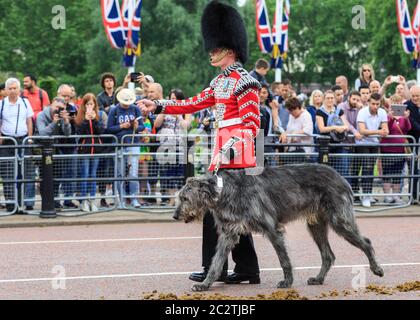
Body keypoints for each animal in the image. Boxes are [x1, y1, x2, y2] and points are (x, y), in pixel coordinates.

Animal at [173, 164, 384, 292]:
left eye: (185, 198)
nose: (175, 216)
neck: (224, 190)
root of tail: (341, 177)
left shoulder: (272, 229)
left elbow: (284, 260)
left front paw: (287, 282)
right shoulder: (228, 233)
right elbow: (216, 262)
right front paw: (205, 284)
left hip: (340, 221)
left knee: (366, 242)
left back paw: (377, 269)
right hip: (316, 225)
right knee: (328, 255)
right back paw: (318, 279)